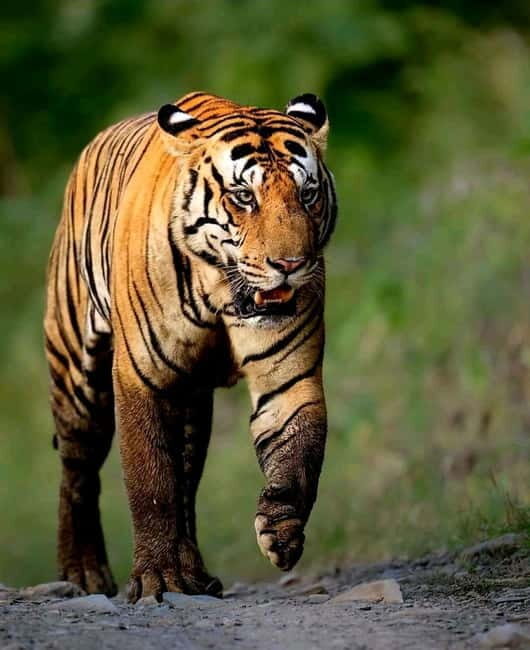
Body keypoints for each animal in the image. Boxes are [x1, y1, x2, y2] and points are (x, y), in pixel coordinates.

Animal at [44, 91, 337, 602]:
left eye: (307, 195)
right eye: (244, 197)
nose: (290, 265)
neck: (221, 290)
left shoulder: (289, 378)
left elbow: (300, 449)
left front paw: (280, 530)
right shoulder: (141, 376)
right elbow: (150, 482)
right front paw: (157, 579)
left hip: (191, 404)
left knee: (184, 480)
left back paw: (195, 576)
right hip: (78, 377)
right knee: (77, 473)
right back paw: (83, 574)